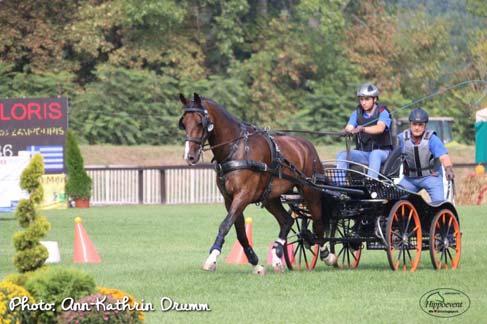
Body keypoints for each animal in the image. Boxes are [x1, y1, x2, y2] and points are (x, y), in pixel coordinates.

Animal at [179, 93, 328, 274]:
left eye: (201, 122)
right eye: (184, 123)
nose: (190, 156)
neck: (236, 149)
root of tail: (307, 145)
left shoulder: (243, 195)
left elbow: (225, 225)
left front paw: (212, 258)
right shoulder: (230, 199)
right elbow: (240, 232)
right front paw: (256, 263)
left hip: (310, 191)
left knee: (319, 221)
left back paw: (327, 254)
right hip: (270, 197)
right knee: (287, 220)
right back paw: (277, 257)